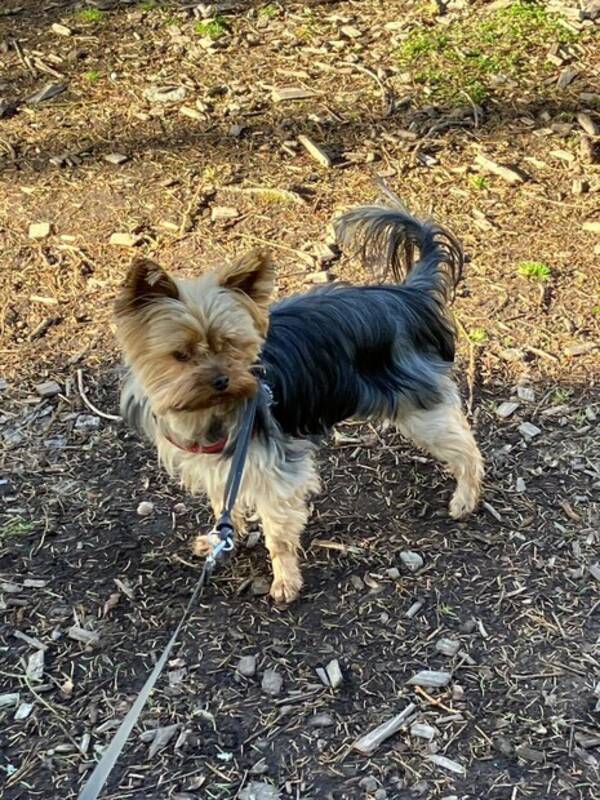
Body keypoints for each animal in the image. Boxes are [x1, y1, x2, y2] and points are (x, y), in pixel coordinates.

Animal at [115, 194, 486, 604]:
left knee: (467, 447)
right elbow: (224, 501)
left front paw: (284, 580)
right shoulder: (219, 464)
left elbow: (278, 534)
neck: (209, 413)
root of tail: (408, 295)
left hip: (419, 408)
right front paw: (223, 537)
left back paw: (465, 499)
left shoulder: (278, 473)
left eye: (231, 345)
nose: (222, 380)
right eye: (180, 355)